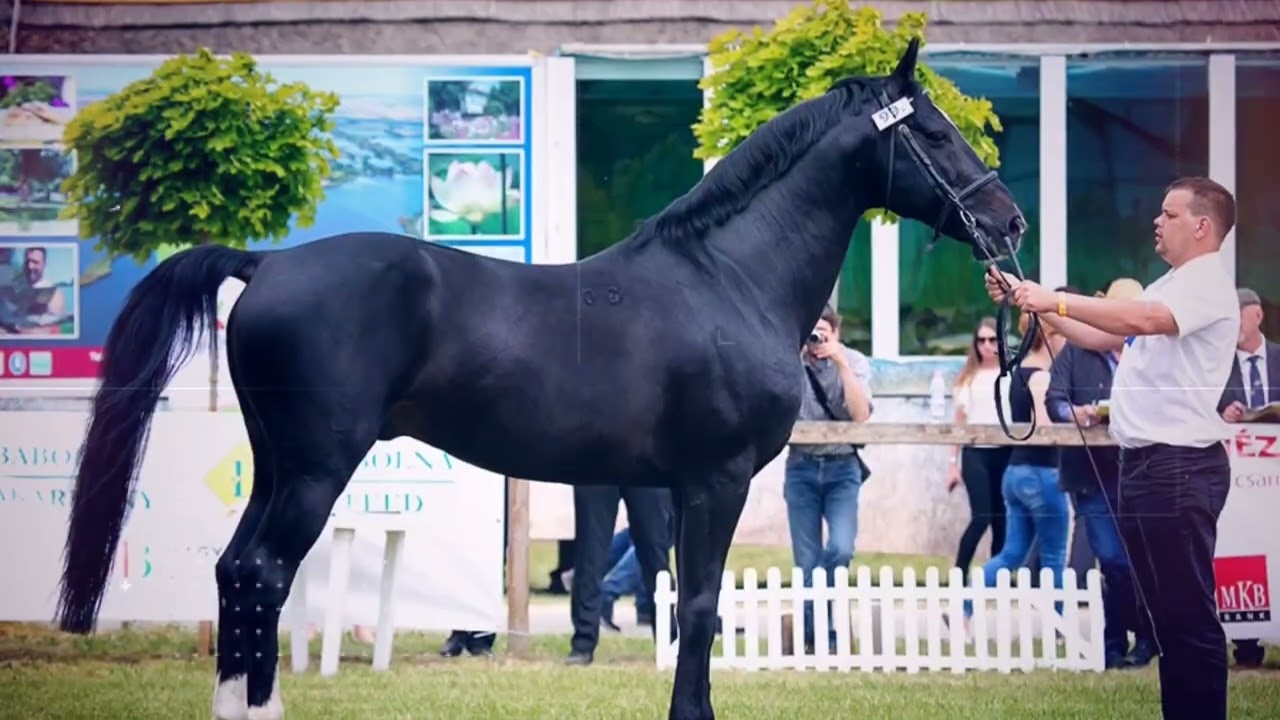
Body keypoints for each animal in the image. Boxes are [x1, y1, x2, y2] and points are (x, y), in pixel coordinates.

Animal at [54, 38, 1025, 720]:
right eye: (933, 132)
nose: (1010, 220)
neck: (727, 277)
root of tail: (268, 263)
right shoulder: (712, 481)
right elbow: (701, 606)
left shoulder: (680, 486)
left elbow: (686, 602)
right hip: (316, 471)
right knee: (261, 573)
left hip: (279, 466)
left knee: (236, 573)